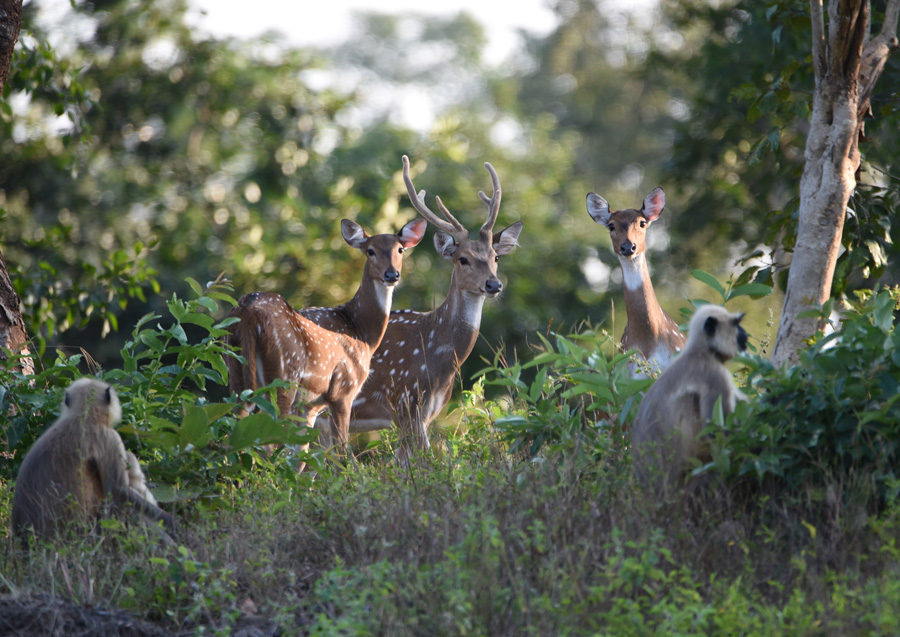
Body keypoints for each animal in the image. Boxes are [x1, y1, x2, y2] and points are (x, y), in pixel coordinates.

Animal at [226, 217, 427, 460]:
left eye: (400, 249)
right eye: (370, 251)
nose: (391, 275)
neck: (362, 333)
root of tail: (248, 312)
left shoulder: (310, 405)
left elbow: (303, 454)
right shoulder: (343, 390)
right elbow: (341, 452)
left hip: (236, 372)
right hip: (284, 375)